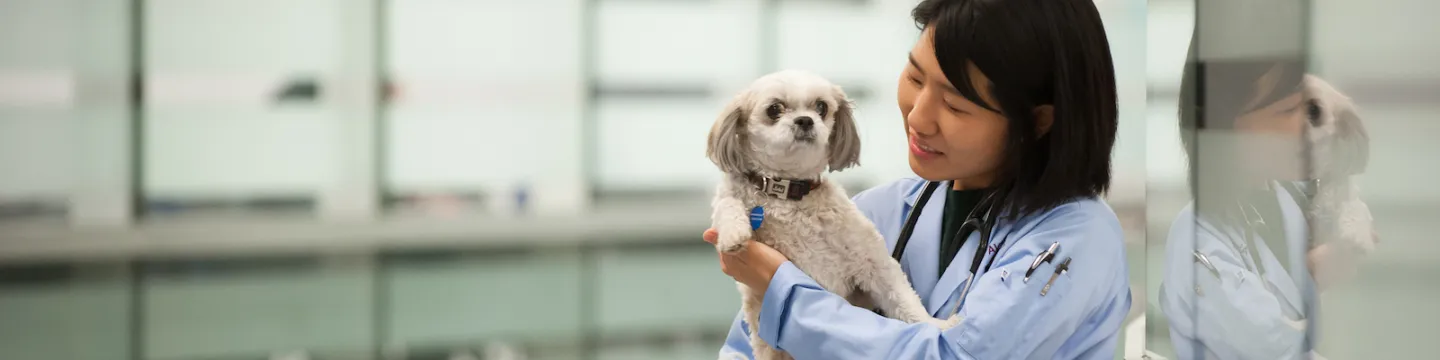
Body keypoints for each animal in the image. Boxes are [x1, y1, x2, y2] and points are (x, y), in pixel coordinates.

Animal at [705, 70, 956, 360]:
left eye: (821, 107)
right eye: (774, 109)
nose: (805, 120)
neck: (788, 192)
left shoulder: (870, 258)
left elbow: (903, 297)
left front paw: (938, 324)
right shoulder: (729, 197)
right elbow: (728, 204)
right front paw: (734, 234)